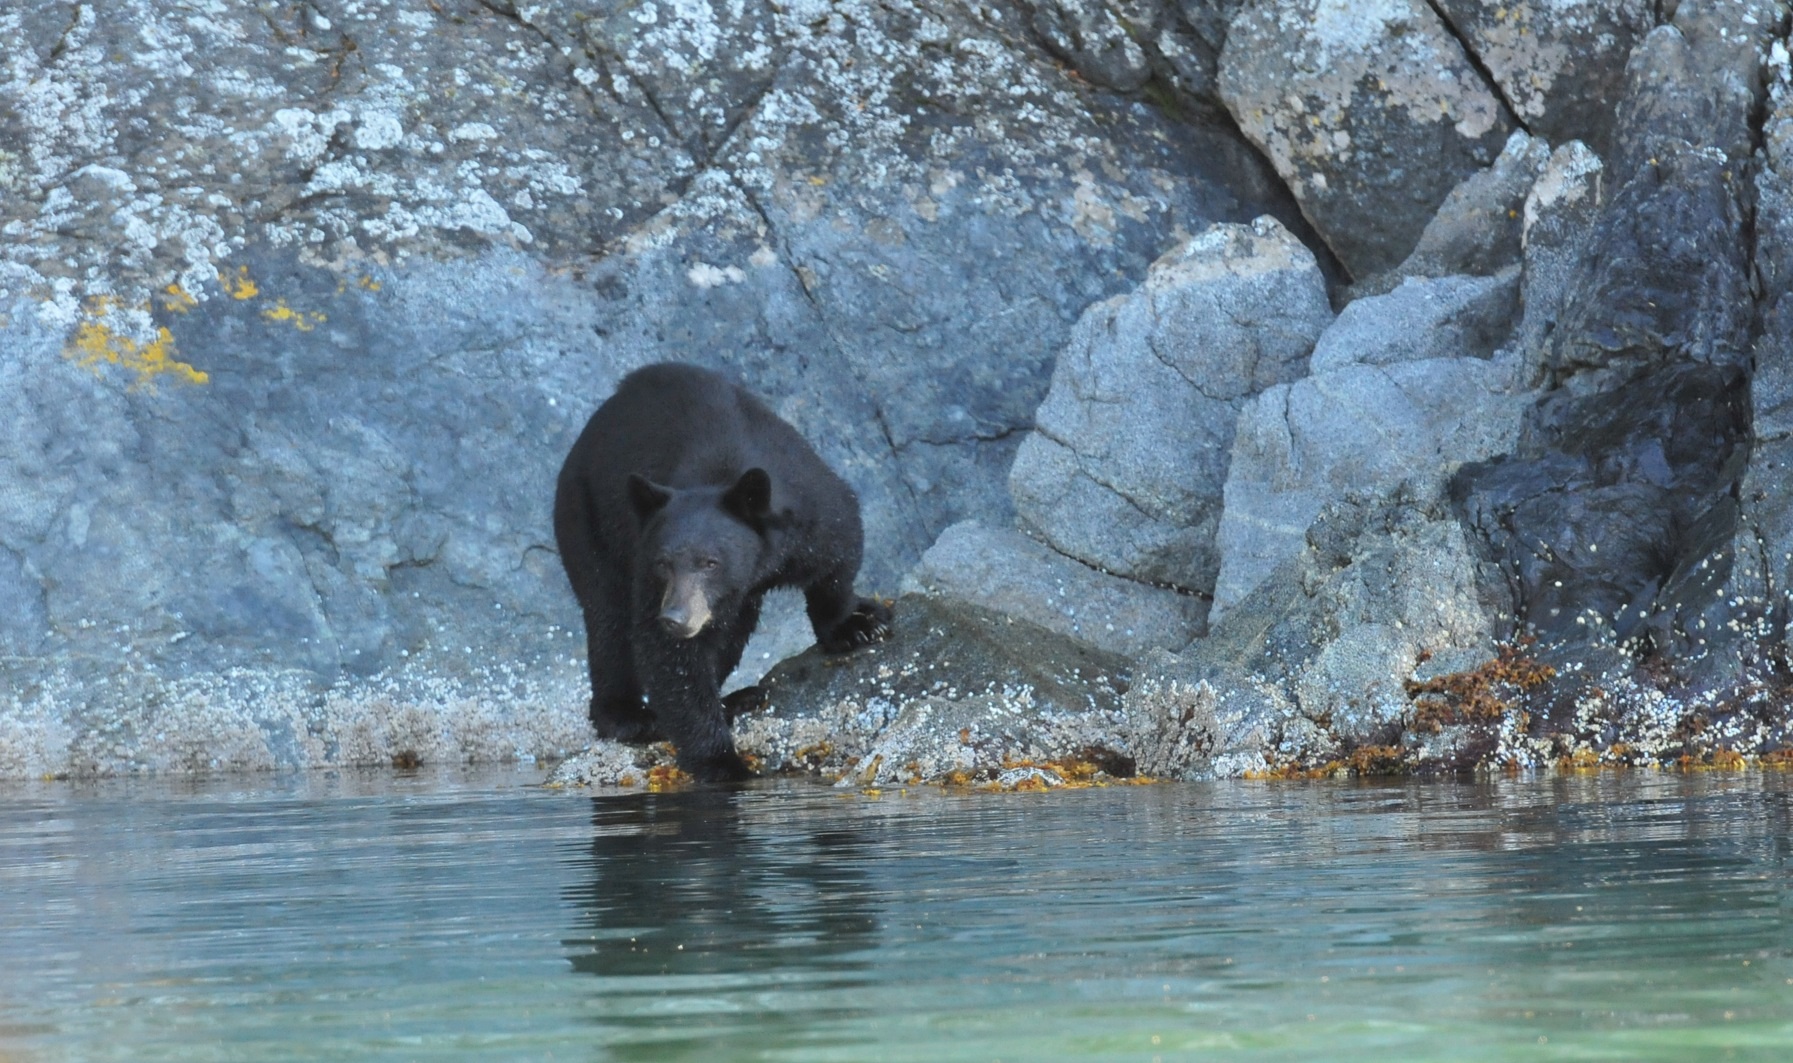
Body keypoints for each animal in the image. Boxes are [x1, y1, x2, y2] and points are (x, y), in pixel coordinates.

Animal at [553, 362, 893, 782]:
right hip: (587, 516)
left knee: (731, 630)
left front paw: (855, 625)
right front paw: (723, 763)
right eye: (663, 563)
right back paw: (628, 715)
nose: (676, 618)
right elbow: (669, 657)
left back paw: (738, 696)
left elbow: (837, 554)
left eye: (710, 562)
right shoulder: (646, 559)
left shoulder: (810, 508)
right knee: (608, 617)